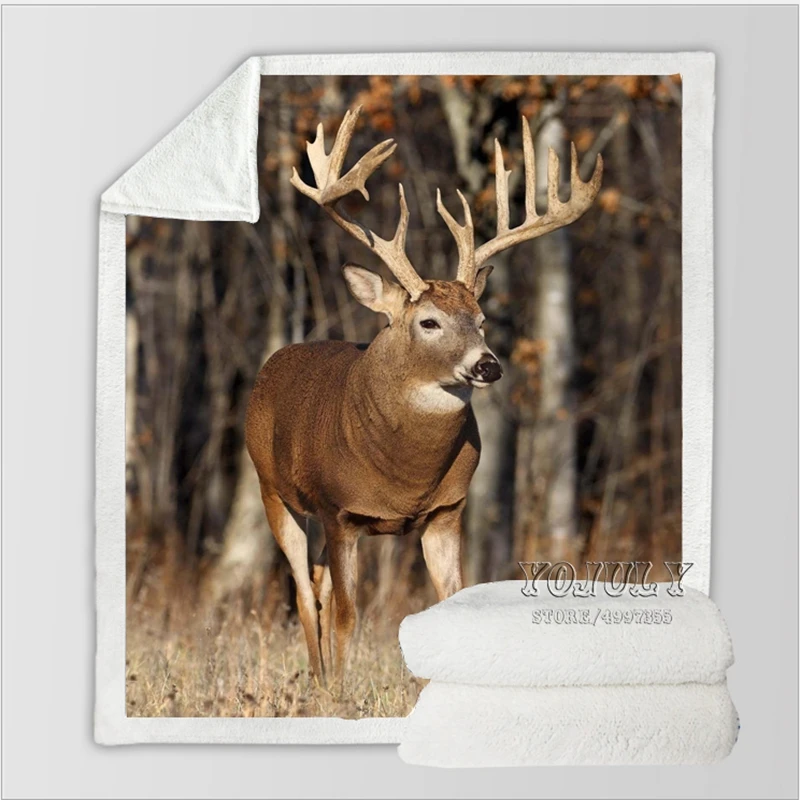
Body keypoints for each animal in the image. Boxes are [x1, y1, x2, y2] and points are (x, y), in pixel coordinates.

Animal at [244, 106, 602, 685]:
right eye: (428, 322)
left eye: (481, 319)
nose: (487, 364)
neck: (405, 476)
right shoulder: (340, 511)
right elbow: (347, 616)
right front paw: (342, 694)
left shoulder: (447, 510)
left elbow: (447, 603)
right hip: (273, 491)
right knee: (304, 594)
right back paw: (321, 681)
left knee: (318, 584)